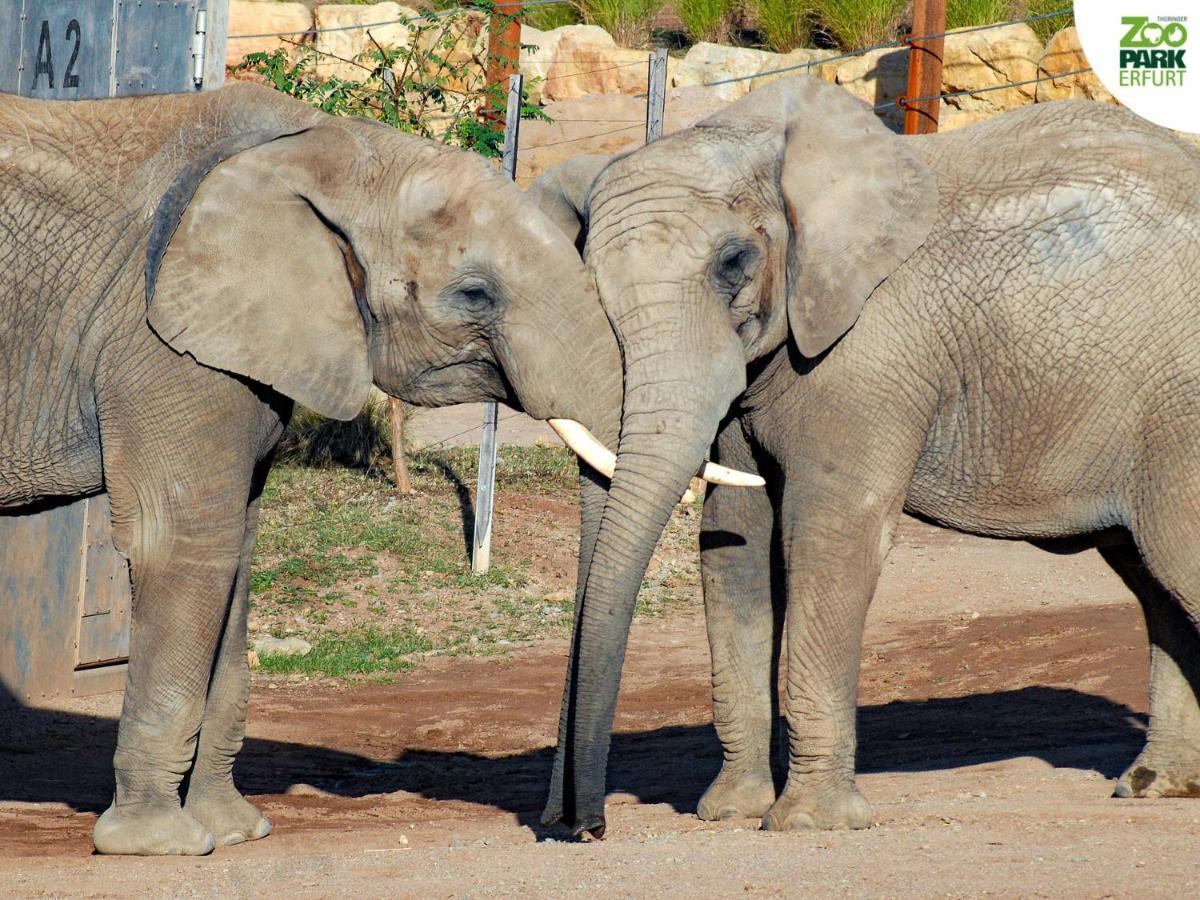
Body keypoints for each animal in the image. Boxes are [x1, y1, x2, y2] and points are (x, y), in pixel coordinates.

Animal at [0, 81, 638, 854]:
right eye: (475, 295)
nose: (577, 827)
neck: (323, 148)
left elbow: (236, 549)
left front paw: (238, 832)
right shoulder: (154, 340)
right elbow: (183, 544)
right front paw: (159, 844)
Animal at [528, 75, 1200, 840]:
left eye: (734, 264)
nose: (579, 826)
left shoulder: (867, 353)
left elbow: (829, 534)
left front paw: (806, 824)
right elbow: (735, 539)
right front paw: (730, 811)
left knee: (1175, 562)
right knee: (1156, 580)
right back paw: (1153, 786)